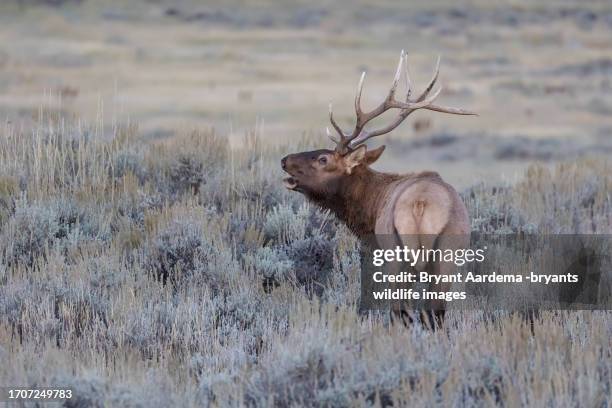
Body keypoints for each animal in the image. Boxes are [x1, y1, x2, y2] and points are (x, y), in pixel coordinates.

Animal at [280, 51, 476, 326]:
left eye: (323, 159)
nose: (284, 160)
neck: (370, 210)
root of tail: (421, 204)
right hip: (449, 256)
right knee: (435, 313)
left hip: (398, 253)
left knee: (400, 311)